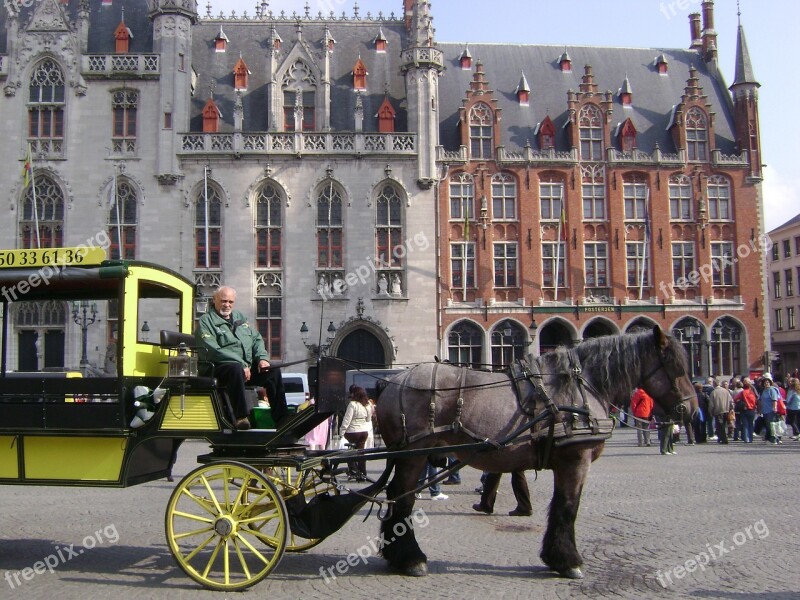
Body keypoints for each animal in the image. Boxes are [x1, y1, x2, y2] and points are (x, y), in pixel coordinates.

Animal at [376, 326, 692, 580]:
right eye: (675, 366)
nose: (690, 408)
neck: (580, 385)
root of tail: (392, 381)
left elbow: (560, 505)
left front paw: (556, 557)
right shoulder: (576, 459)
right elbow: (567, 507)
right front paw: (568, 562)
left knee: (395, 496)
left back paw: (397, 556)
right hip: (414, 454)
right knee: (401, 499)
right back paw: (411, 559)